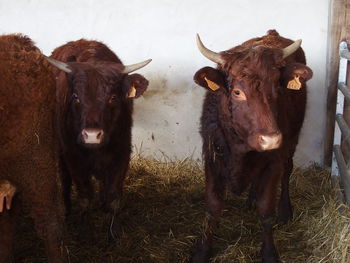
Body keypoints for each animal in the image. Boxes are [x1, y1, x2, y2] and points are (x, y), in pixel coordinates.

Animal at [46, 38, 150, 241]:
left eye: (113, 97)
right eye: (75, 97)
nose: (92, 135)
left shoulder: (122, 153)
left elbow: (114, 197)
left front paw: (114, 232)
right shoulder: (73, 157)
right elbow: (85, 197)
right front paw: (85, 231)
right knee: (64, 178)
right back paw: (67, 209)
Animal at [193, 29, 314, 263]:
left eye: (277, 88)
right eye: (237, 92)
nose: (271, 139)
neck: (241, 148)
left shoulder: (273, 162)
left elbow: (265, 210)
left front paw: (269, 253)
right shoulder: (212, 157)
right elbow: (212, 207)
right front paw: (202, 251)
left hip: (292, 141)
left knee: (287, 172)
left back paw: (284, 210)